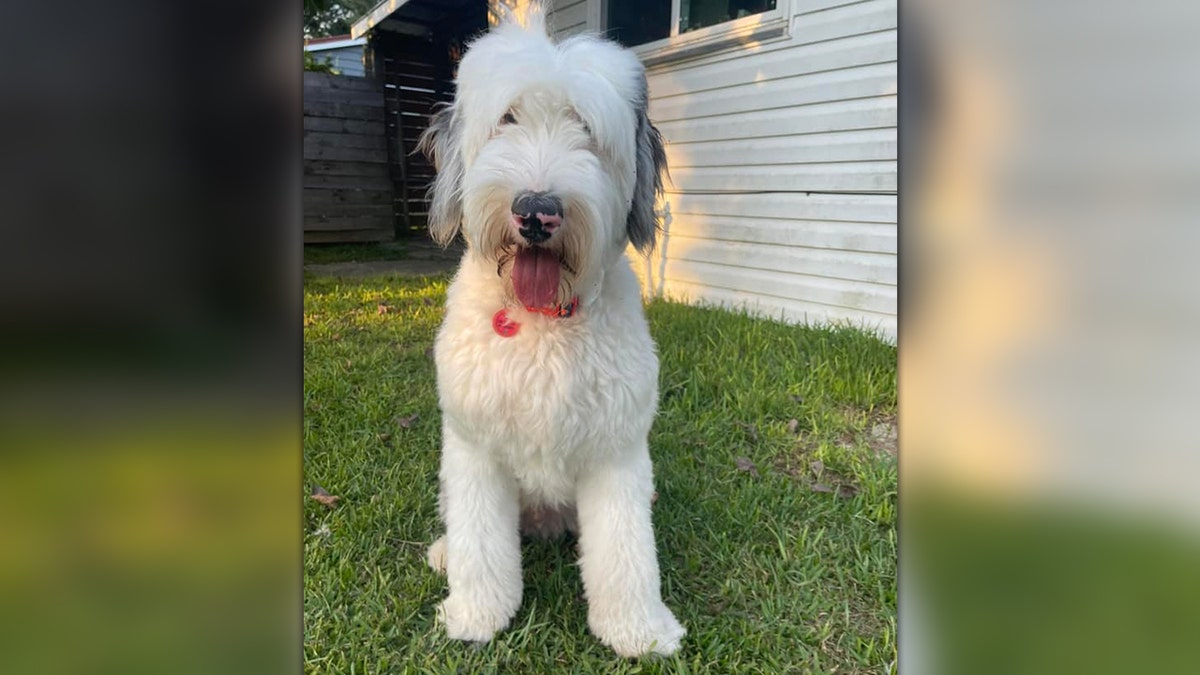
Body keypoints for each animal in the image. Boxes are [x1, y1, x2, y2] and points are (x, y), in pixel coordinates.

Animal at [417, 3, 686, 658]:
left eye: (585, 128)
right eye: (507, 118)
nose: (537, 210)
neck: (541, 323)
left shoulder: (616, 451)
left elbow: (626, 550)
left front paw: (639, 629)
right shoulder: (475, 448)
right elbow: (481, 543)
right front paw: (476, 614)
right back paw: (446, 553)